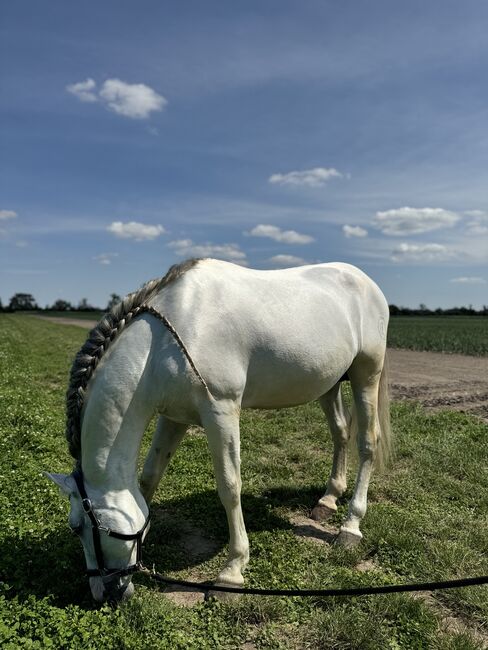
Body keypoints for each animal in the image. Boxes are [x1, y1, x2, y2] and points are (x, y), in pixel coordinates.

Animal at [47, 258, 390, 604]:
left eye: (78, 527)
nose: (103, 593)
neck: (163, 342)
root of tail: (366, 282)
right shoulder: (174, 417)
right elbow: (149, 477)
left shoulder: (221, 411)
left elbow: (229, 486)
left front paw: (232, 572)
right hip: (329, 384)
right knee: (340, 433)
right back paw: (328, 500)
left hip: (366, 375)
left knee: (367, 443)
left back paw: (350, 527)